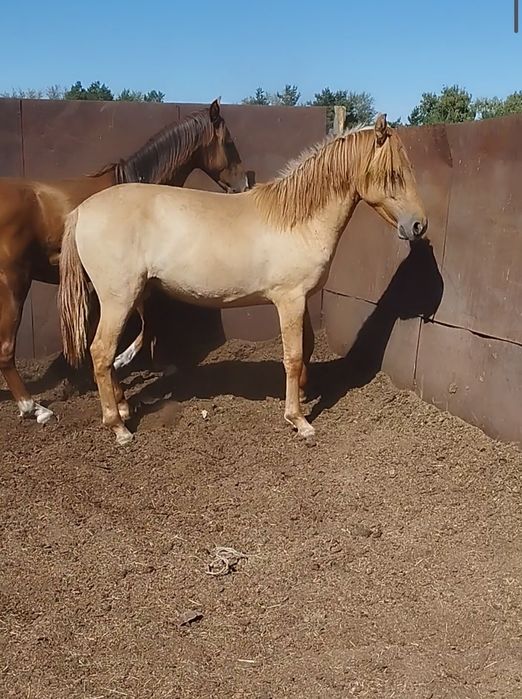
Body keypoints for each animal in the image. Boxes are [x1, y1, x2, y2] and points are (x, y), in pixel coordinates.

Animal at [0, 98, 248, 424]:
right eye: (229, 143)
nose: (244, 185)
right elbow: (147, 323)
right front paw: (124, 366)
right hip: (14, 284)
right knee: (6, 349)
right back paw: (35, 408)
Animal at [58, 114, 427, 447]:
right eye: (394, 174)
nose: (418, 226)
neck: (296, 220)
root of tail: (81, 211)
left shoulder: (301, 300)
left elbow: (306, 347)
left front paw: (304, 393)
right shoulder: (289, 300)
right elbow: (293, 356)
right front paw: (298, 420)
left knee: (106, 355)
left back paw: (122, 407)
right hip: (119, 299)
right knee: (101, 352)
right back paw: (118, 427)